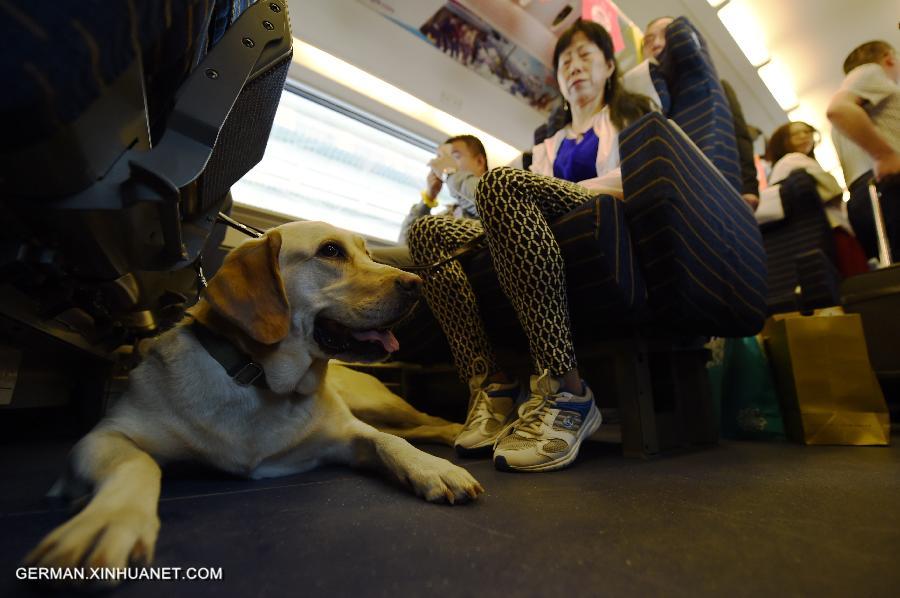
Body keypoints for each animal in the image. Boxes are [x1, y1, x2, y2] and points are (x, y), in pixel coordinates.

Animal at [24, 223, 482, 580]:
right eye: (330, 251)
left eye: (368, 253)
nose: (417, 284)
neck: (262, 380)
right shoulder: (104, 435)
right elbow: (139, 462)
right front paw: (109, 521)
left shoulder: (349, 432)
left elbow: (389, 442)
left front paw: (432, 469)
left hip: (381, 406)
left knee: (424, 423)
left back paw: (461, 436)